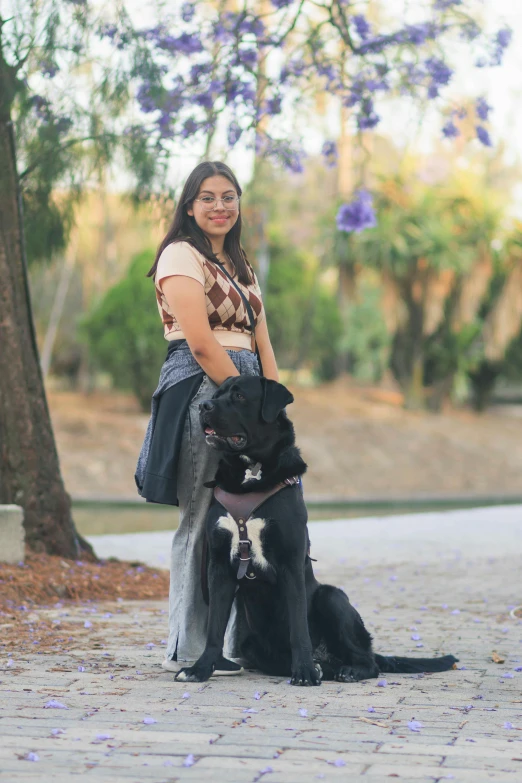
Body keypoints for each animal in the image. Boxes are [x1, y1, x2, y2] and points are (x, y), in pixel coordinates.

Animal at [175, 376, 456, 684]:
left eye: (239, 396)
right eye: (217, 394)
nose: (204, 406)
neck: (251, 475)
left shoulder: (291, 563)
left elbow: (299, 627)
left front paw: (305, 672)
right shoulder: (219, 566)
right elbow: (214, 629)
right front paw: (199, 669)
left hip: (332, 598)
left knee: (368, 660)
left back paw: (345, 670)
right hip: (251, 644)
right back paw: (322, 667)